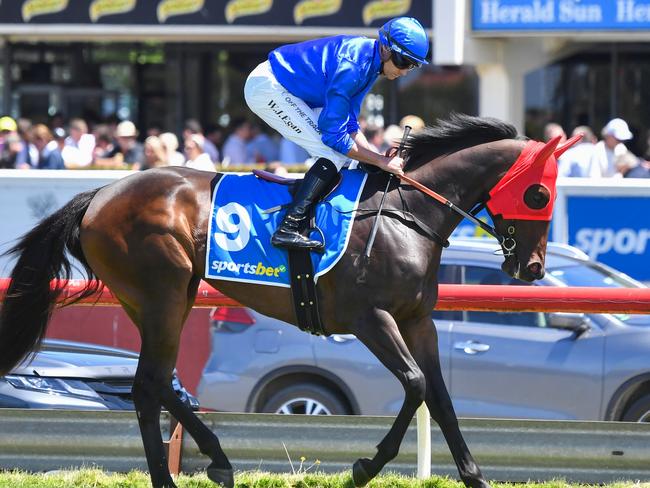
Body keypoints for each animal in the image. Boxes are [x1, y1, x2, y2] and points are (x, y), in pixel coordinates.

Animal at [0, 112, 576, 486]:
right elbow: (414, 385)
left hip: (168, 299)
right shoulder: (369, 318)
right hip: (161, 295)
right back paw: (188, 472)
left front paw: (475, 477)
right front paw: (364, 466)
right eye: (540, 194)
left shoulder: (418, 321)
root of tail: (98, 195)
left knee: (155, 384)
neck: (407, 214)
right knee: (147, 386)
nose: (531, 268)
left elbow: (440, 396)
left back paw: (214, 461)